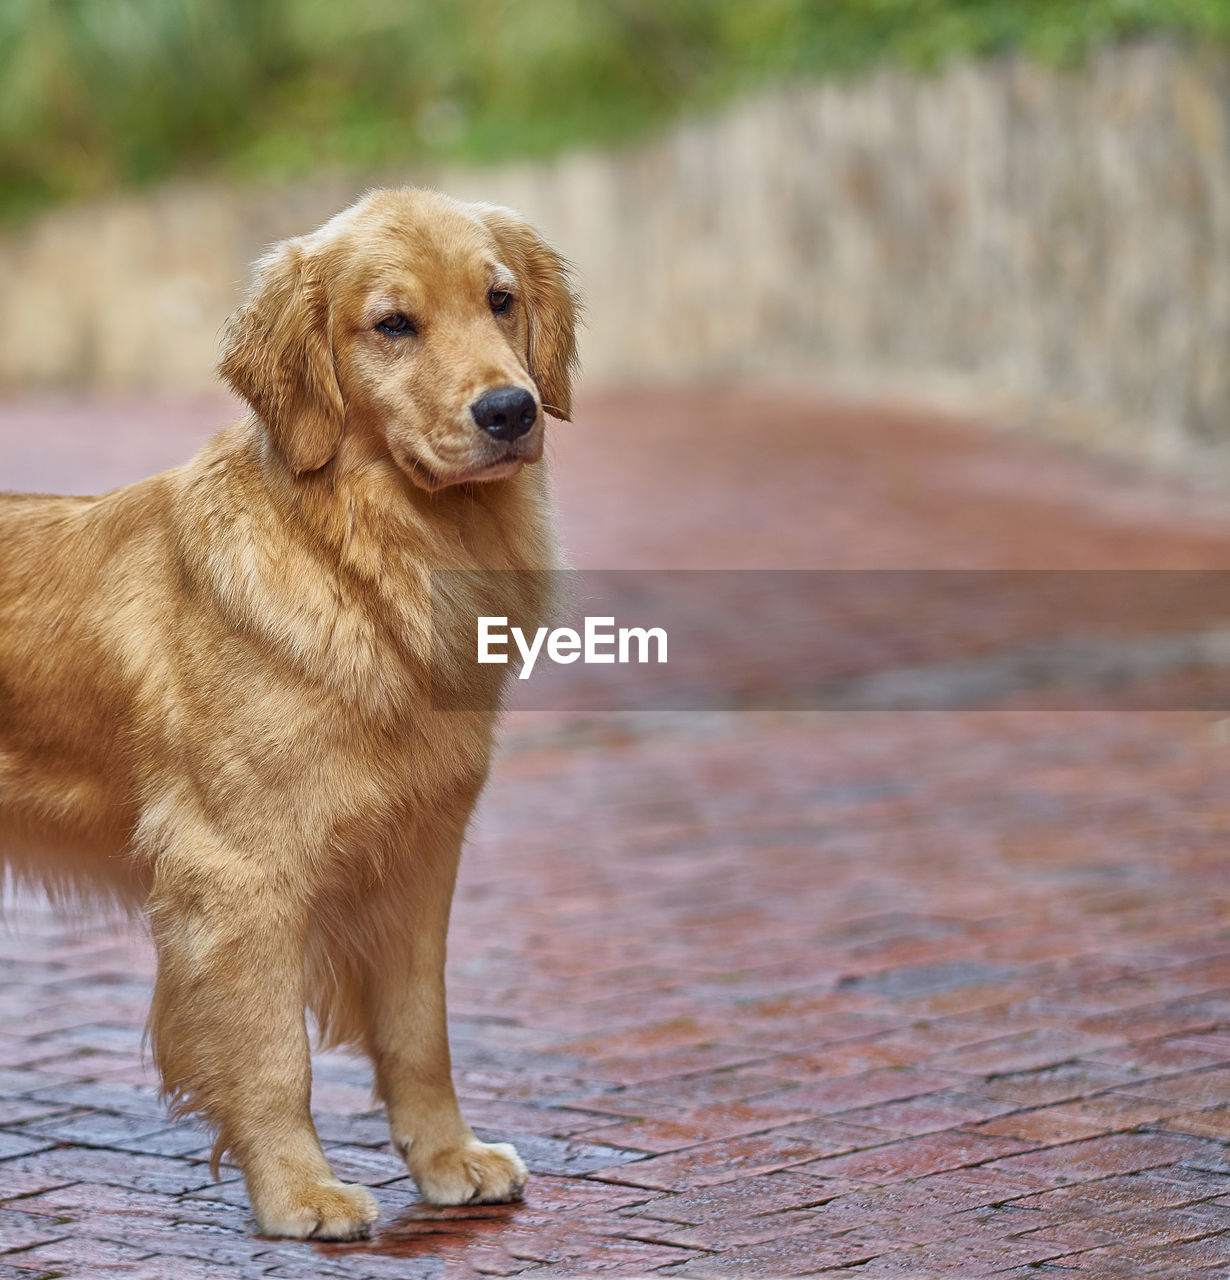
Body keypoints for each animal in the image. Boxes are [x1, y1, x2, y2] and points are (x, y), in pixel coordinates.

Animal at [0, 185, 581, 1233]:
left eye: (501, 300)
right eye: (392, 324)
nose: (511, 409)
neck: (365, 565)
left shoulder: (421, 856)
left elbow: (419, 1034)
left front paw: (447, 1157)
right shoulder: (237, 871)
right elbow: (275, 1058)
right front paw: (298, 1192)